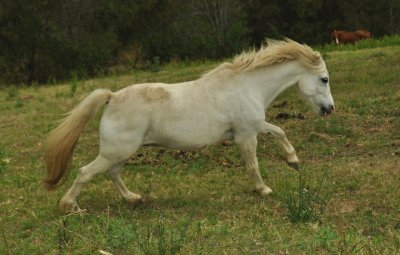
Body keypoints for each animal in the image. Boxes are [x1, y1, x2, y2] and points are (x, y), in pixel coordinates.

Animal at [43, 38, 334, 212]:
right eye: (324, 79)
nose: (330, 109)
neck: (247, 86)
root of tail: (112, 97)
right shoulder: (246, 136)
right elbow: (253, 164)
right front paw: (263, 189)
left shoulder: (253, 127)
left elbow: (279, 131)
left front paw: (293, 161)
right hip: (116, 151)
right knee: (86, 172)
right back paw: (70, 206)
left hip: (121, 152)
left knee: (112, 173)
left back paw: (132, 198)